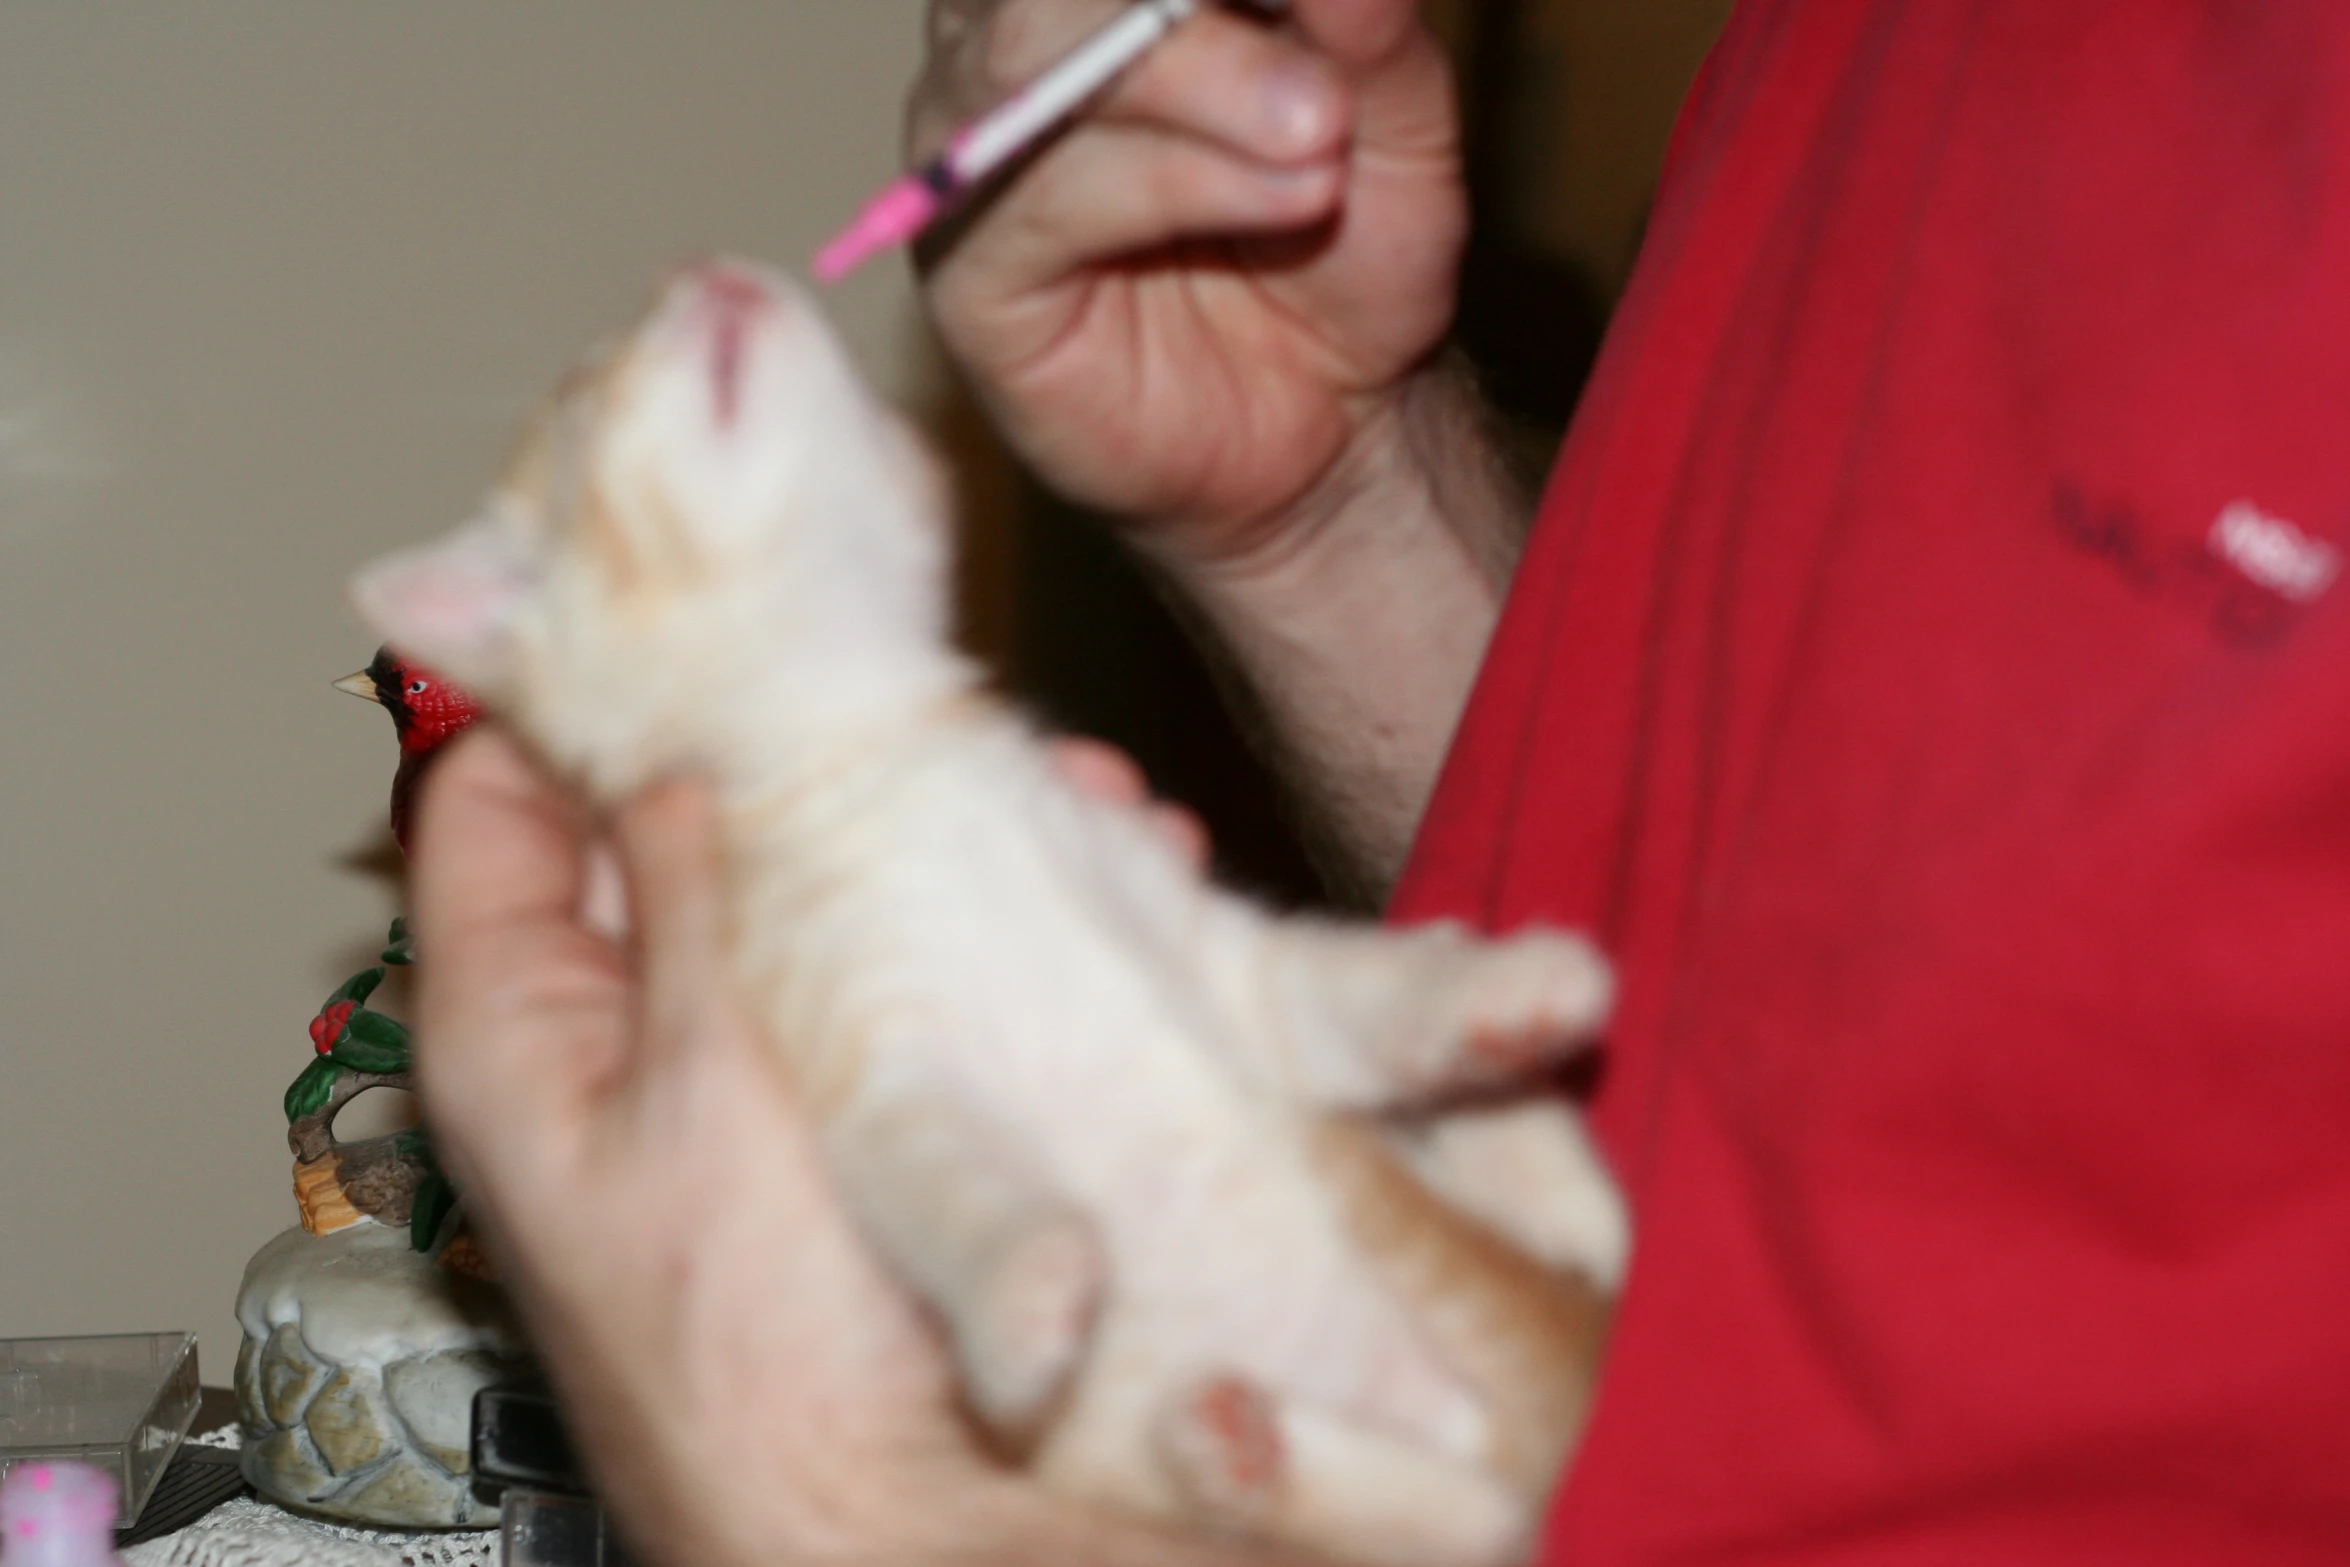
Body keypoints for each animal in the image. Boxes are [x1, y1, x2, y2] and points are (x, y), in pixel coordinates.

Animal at [357, 260, 1626, 1567]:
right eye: (581, 392)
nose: (712, 269)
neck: (867, 736)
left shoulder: (1207, 950)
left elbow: (1349, 989)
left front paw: (1510, 1013)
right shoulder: (873, 1054)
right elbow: (948, 1173)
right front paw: (1029, 1290)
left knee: (1475, 1509)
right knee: (1438, 1515)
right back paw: (1236, 1447)